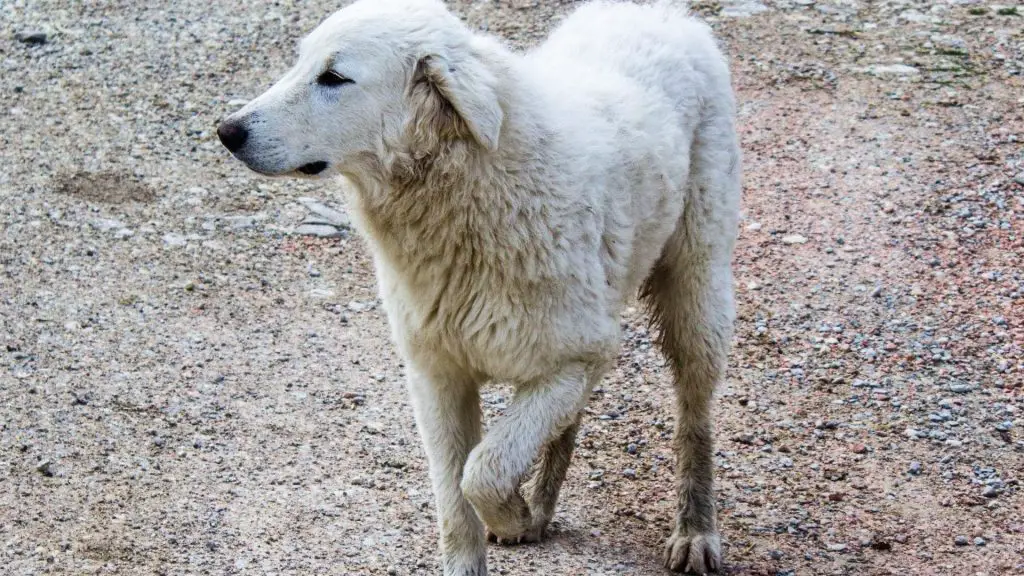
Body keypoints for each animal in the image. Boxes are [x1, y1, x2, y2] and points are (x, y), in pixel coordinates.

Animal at [220, 1, 741, 569]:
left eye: (334, 78)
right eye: (300, 63)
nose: (227, 131)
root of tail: (660, 14)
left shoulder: (574, 360)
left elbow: (483, 473)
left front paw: (509, 514)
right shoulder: (438, 376)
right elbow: (455, 504)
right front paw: (509, 523)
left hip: (696, 293)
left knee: (694, 418)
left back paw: (695, 531)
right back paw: (541, 508)